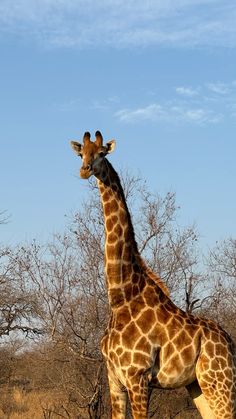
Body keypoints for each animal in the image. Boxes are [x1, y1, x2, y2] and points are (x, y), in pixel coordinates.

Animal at [70, 132, 236, 419]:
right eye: (82, 154)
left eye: (101, 153)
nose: (85, 170)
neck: (121, 296)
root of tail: (230, 344)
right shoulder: (114, 378)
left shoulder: (138, 377)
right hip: (198, 385)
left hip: (220, 382)